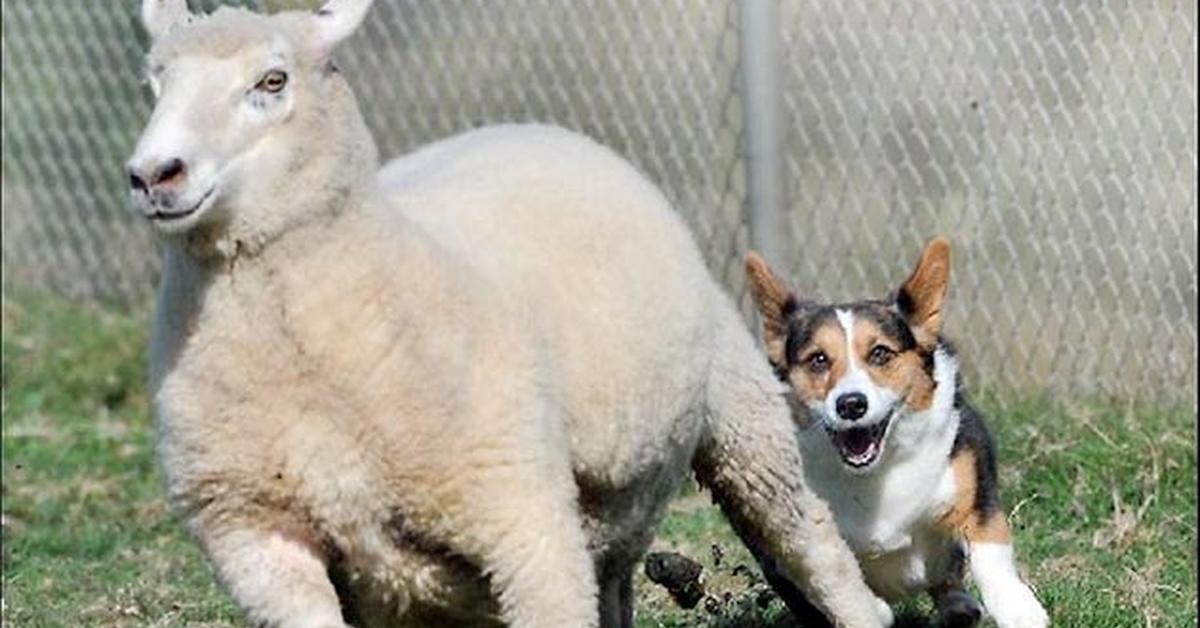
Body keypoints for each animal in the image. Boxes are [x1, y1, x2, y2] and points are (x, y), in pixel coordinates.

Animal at [129, 1, 892, 628]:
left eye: (273, 81)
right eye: (155, 84)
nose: (153, 175)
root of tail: (534, 127)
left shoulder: (521, 516)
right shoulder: (252, 536)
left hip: (738, 412)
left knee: (803, 530)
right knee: (614, 580)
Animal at [744, 240, 1046, 628]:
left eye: (880, 353)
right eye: (818, 360)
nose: (851, 404)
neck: (876, 471)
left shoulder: (975, 492)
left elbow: (990, 556)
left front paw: (1020, 609)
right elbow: (832, 581)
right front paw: (868, 608)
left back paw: (959, 604)